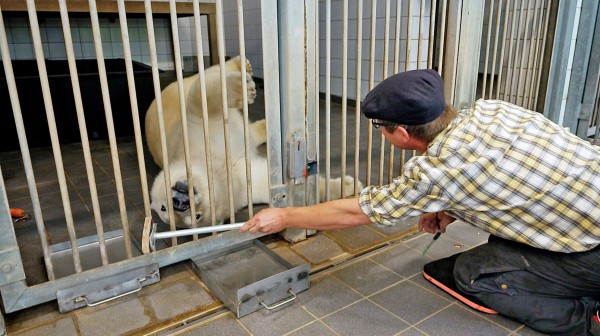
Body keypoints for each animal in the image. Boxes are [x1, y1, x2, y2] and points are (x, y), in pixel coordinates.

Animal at [146, 57, 360, 228]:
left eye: (163, 207)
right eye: (196, 217)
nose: (180, 203)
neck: (216, 166)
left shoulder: (189, 135)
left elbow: (203, 103)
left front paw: (244, 88)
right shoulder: (241, 183)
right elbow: (270, 185)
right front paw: (349, 184)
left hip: (173, 94)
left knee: (201, 79)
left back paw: (241, 65)